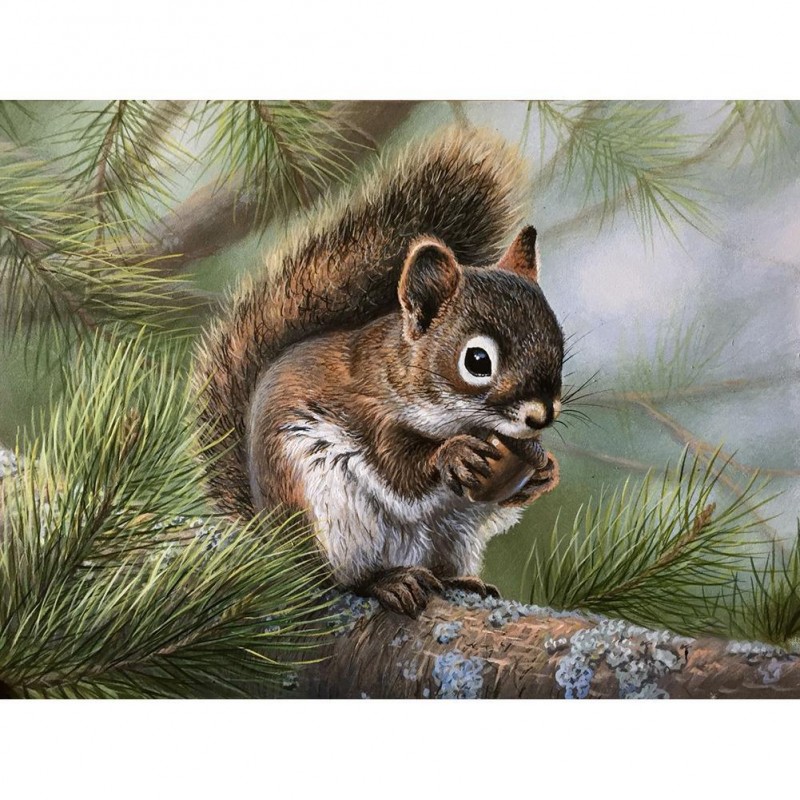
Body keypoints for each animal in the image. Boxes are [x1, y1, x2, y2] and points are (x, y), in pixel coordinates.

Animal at [194, 128, 564, 617]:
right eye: (477, 361)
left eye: (559, 340)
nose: (541, 416)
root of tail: (274, 543)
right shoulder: (370, 413)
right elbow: (399, 472)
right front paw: (453, 454)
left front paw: (545, 472)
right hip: (329, 514)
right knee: (339, 581)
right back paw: (388, 582)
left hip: (454, 535)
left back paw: (461, 580)